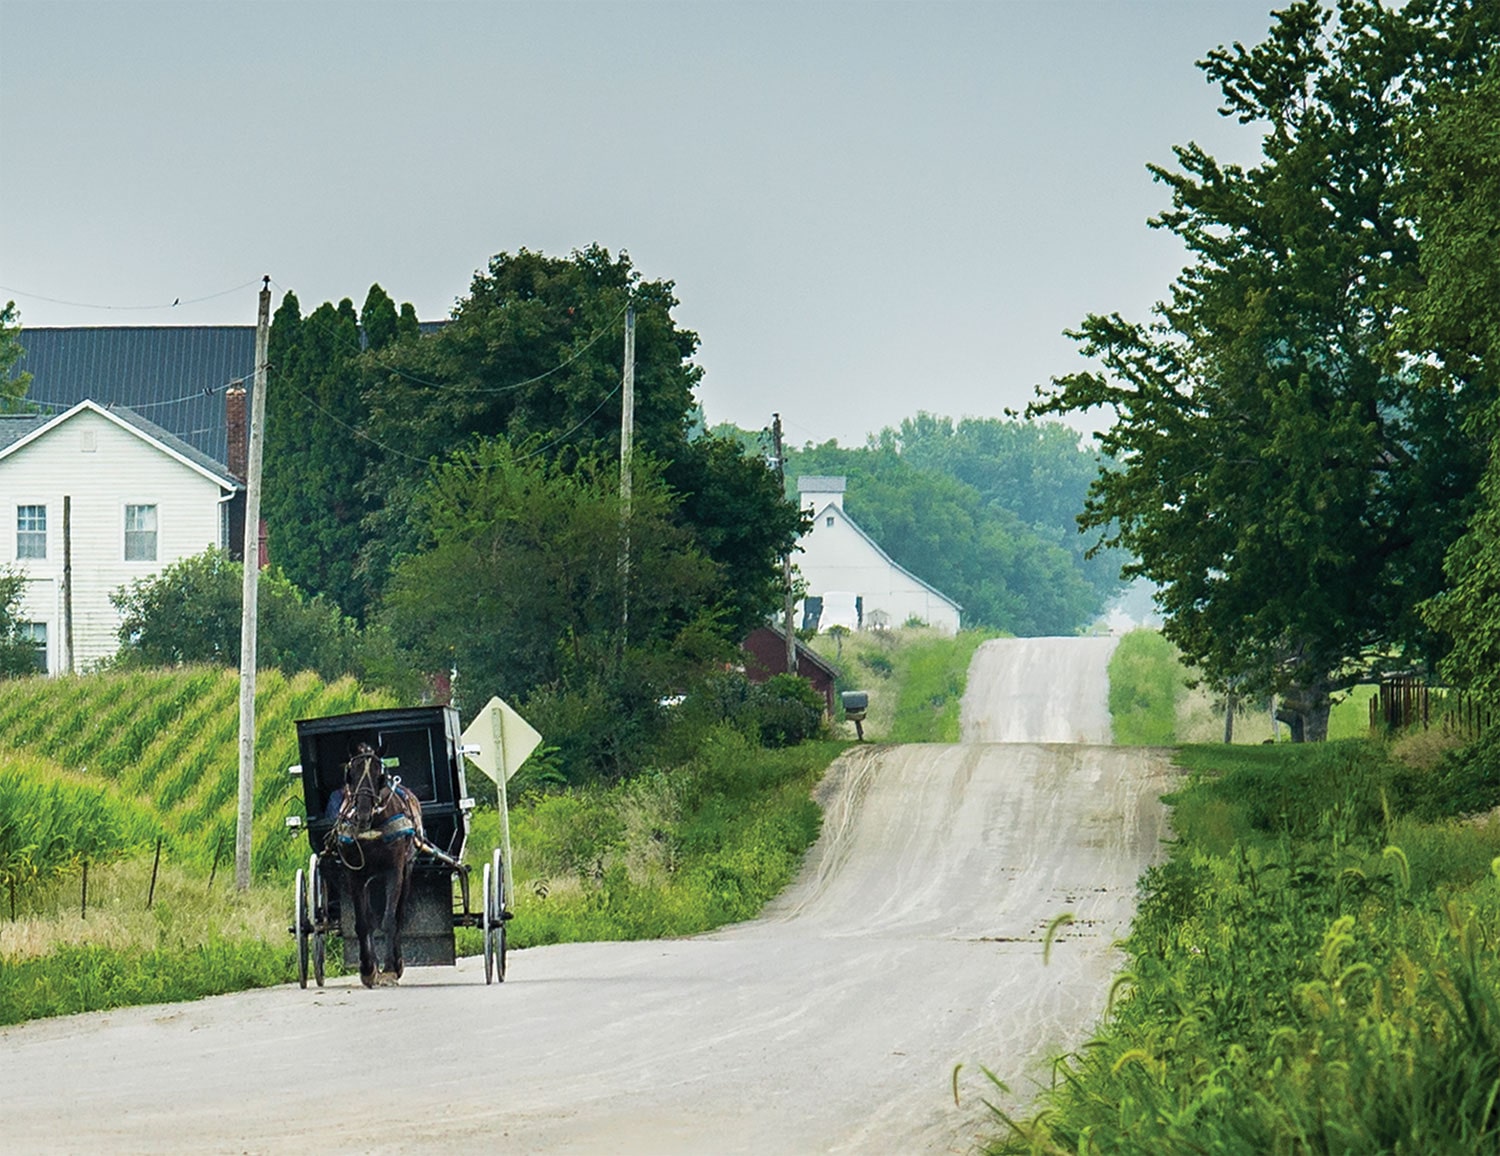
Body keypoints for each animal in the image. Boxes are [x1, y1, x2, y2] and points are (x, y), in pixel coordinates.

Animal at [328, 740, 423, 983]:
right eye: (350, 774)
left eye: (380, 774)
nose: (362, 813)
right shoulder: (355, 874)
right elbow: (363, 923)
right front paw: (368, 968)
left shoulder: (394, 870)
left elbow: (389, 919)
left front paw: (389, 969)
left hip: (407, 869)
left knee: (398, 914)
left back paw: (397, 963)